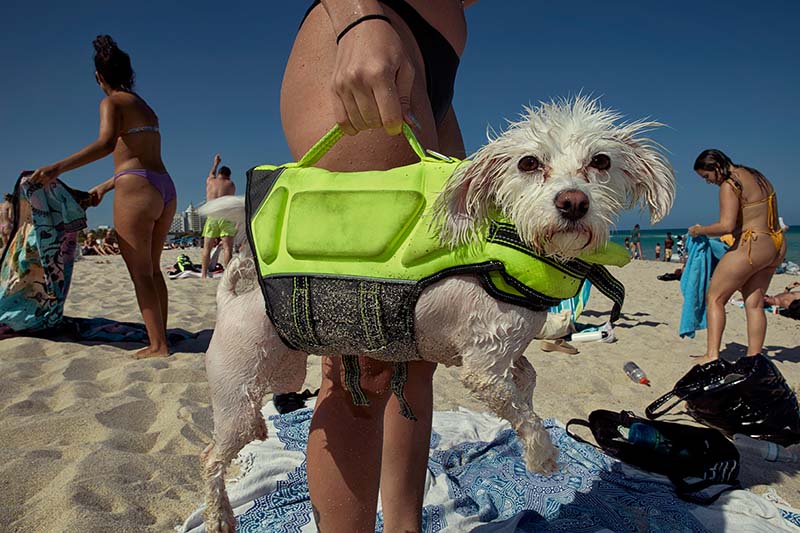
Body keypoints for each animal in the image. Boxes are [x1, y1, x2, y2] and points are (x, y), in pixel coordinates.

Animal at [198, 97, 675, 531]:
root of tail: (231, 296)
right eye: (528, 162)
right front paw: (542, 456)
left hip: (280, 371)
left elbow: (528, 379)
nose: (573, 202)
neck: (514, 245)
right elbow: (524, 414)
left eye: (600, 161)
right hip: (237, 394)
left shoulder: (505, 349)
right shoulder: (481, 371)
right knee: (210, 458)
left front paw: (529, 405)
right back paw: (220, 517)